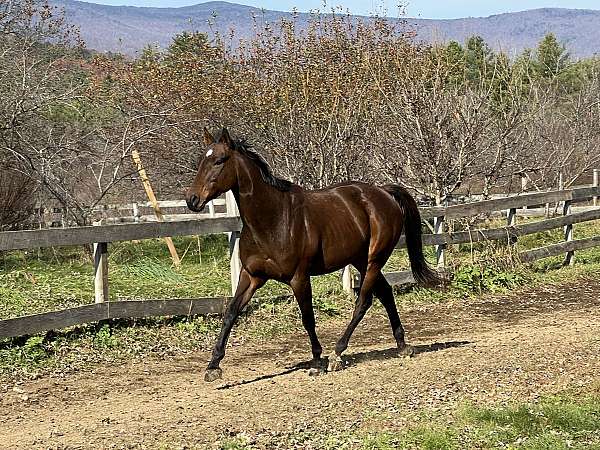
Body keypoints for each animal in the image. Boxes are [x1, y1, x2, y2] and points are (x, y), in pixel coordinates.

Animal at [185, 128, 438, 382]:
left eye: (220, 160)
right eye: (201, 161)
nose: (192, 200)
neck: (272, 219)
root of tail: (384, 192)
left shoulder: (299, 277)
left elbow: (308, 317)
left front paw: (317, 361)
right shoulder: (251, 276)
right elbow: (231, 313)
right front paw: (213, 366)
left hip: (375, 260)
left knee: (364, 301)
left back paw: (337, 353)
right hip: (360, 260)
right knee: (385, 293)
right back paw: (402, 345)